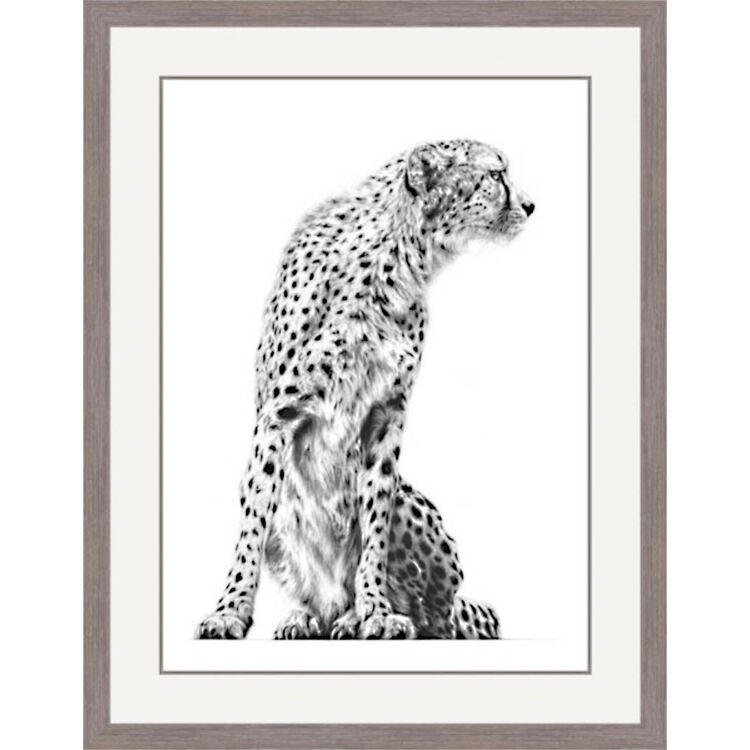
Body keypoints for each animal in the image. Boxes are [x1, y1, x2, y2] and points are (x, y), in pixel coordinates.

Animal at [196, 138, 534, 640]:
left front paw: (374, 609)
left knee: (435, 616)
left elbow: (373, 520)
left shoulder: (385, 414)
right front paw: (230, 610)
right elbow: (252, 526)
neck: (396, 261)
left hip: (413, 509)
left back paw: (359, 615)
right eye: (496, 175)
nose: (530, 205)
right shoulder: (278, 415)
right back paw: (306, 616)